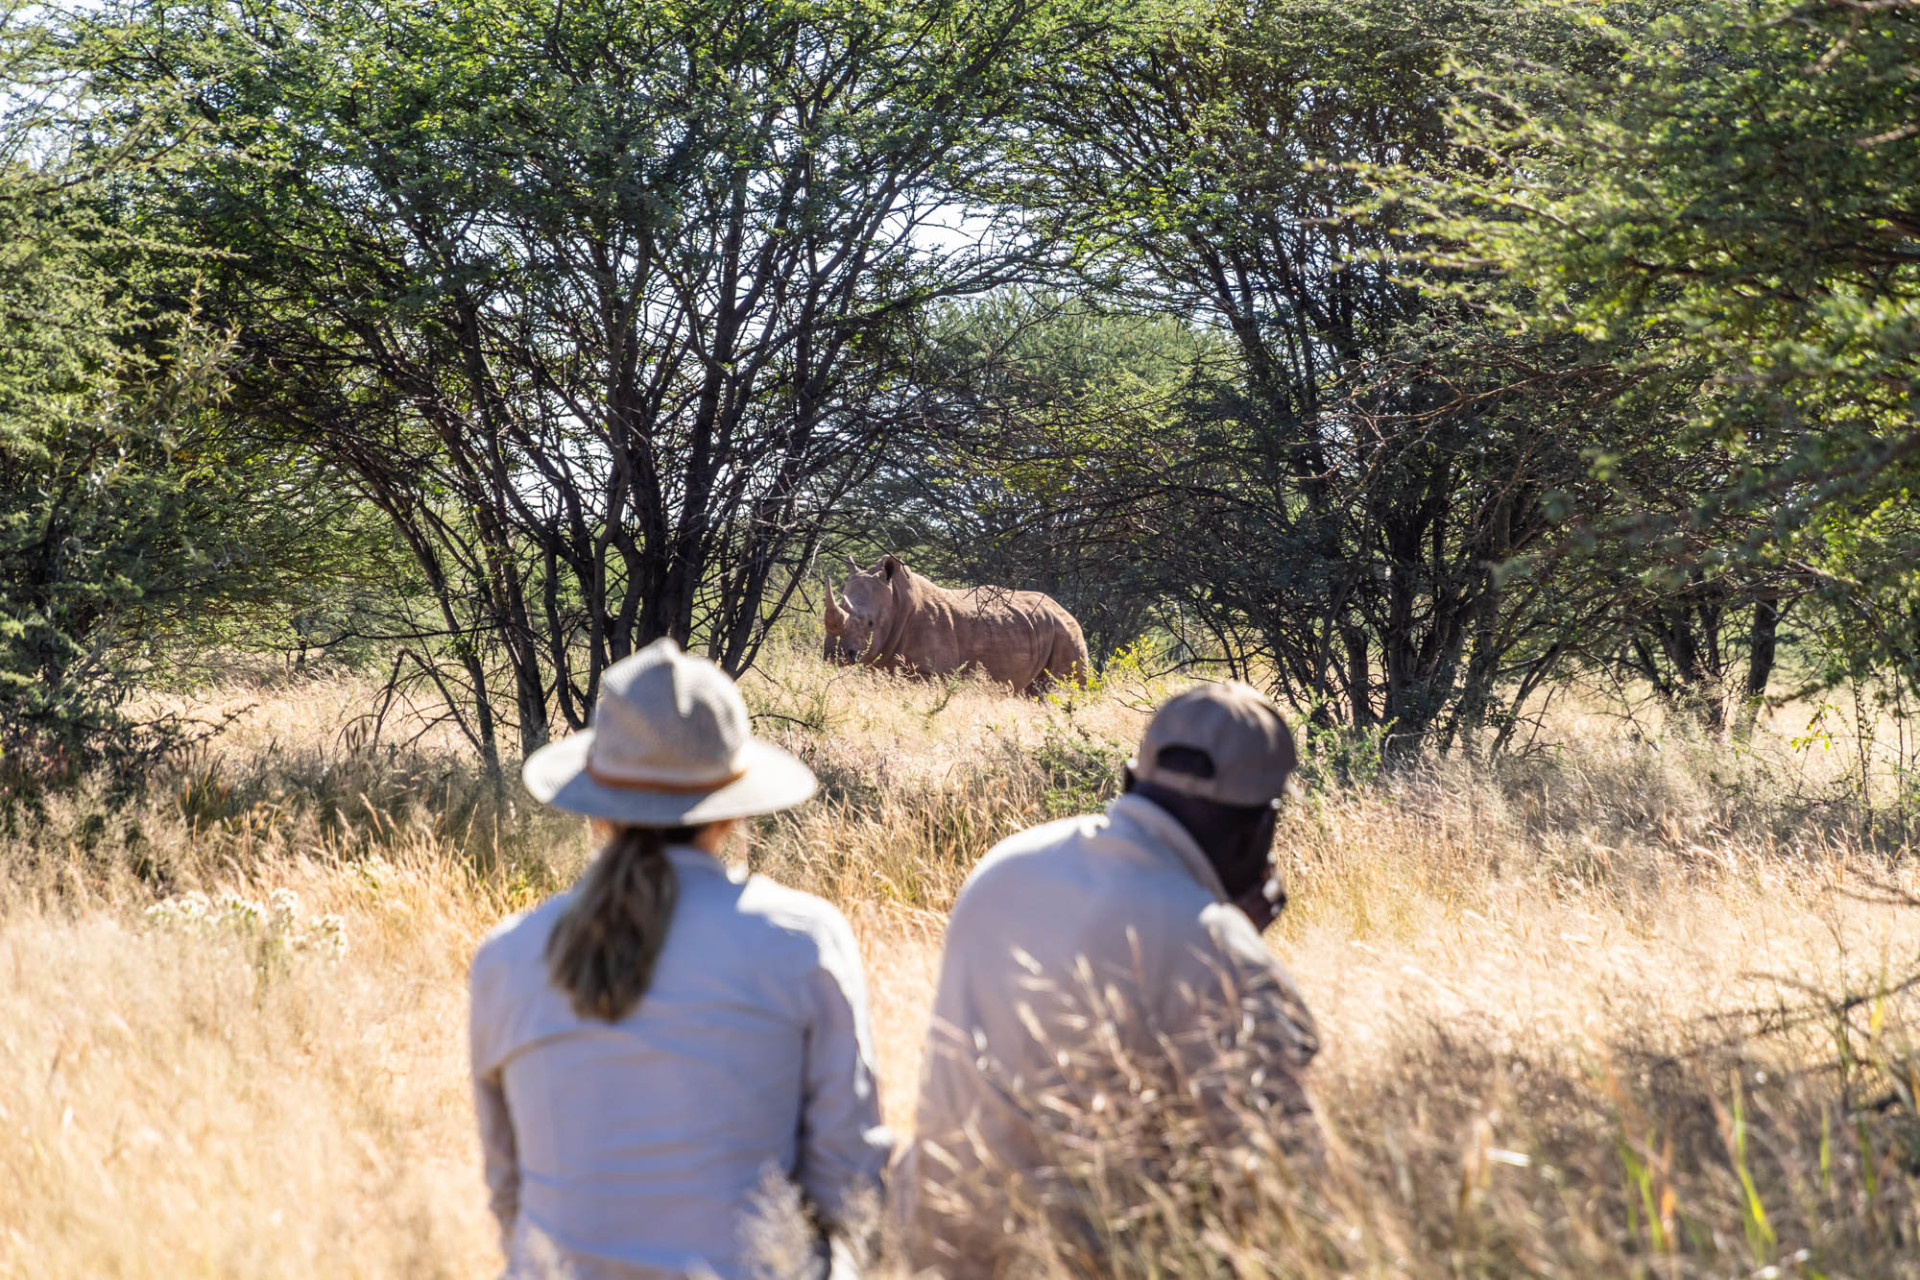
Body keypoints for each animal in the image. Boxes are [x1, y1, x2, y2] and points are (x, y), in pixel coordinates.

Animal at [821, 554, 1090, 695]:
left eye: (870, 623)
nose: (835, 655)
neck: (897, 600)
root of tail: (1067, 612)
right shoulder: (880, 664)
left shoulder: (931, 672)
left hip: (1067, 633)